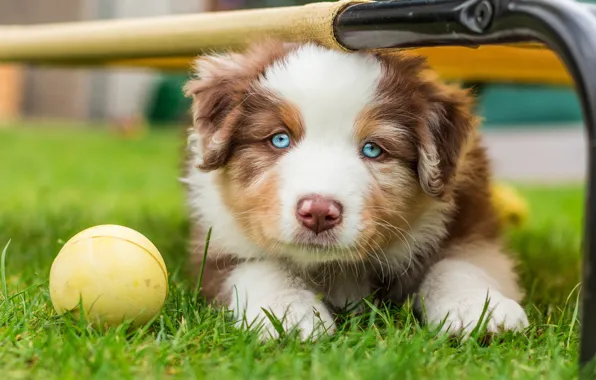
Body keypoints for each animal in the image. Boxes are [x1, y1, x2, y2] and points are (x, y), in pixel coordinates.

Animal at [180, 40, 528, 340]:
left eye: (373, 149)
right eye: (279, 139)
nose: (319, 213)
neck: (336, 266)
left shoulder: (473, 226)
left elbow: (458, 264)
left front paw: (478, 311)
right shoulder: (215, 239)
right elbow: (261, 266)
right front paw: (288, 314)